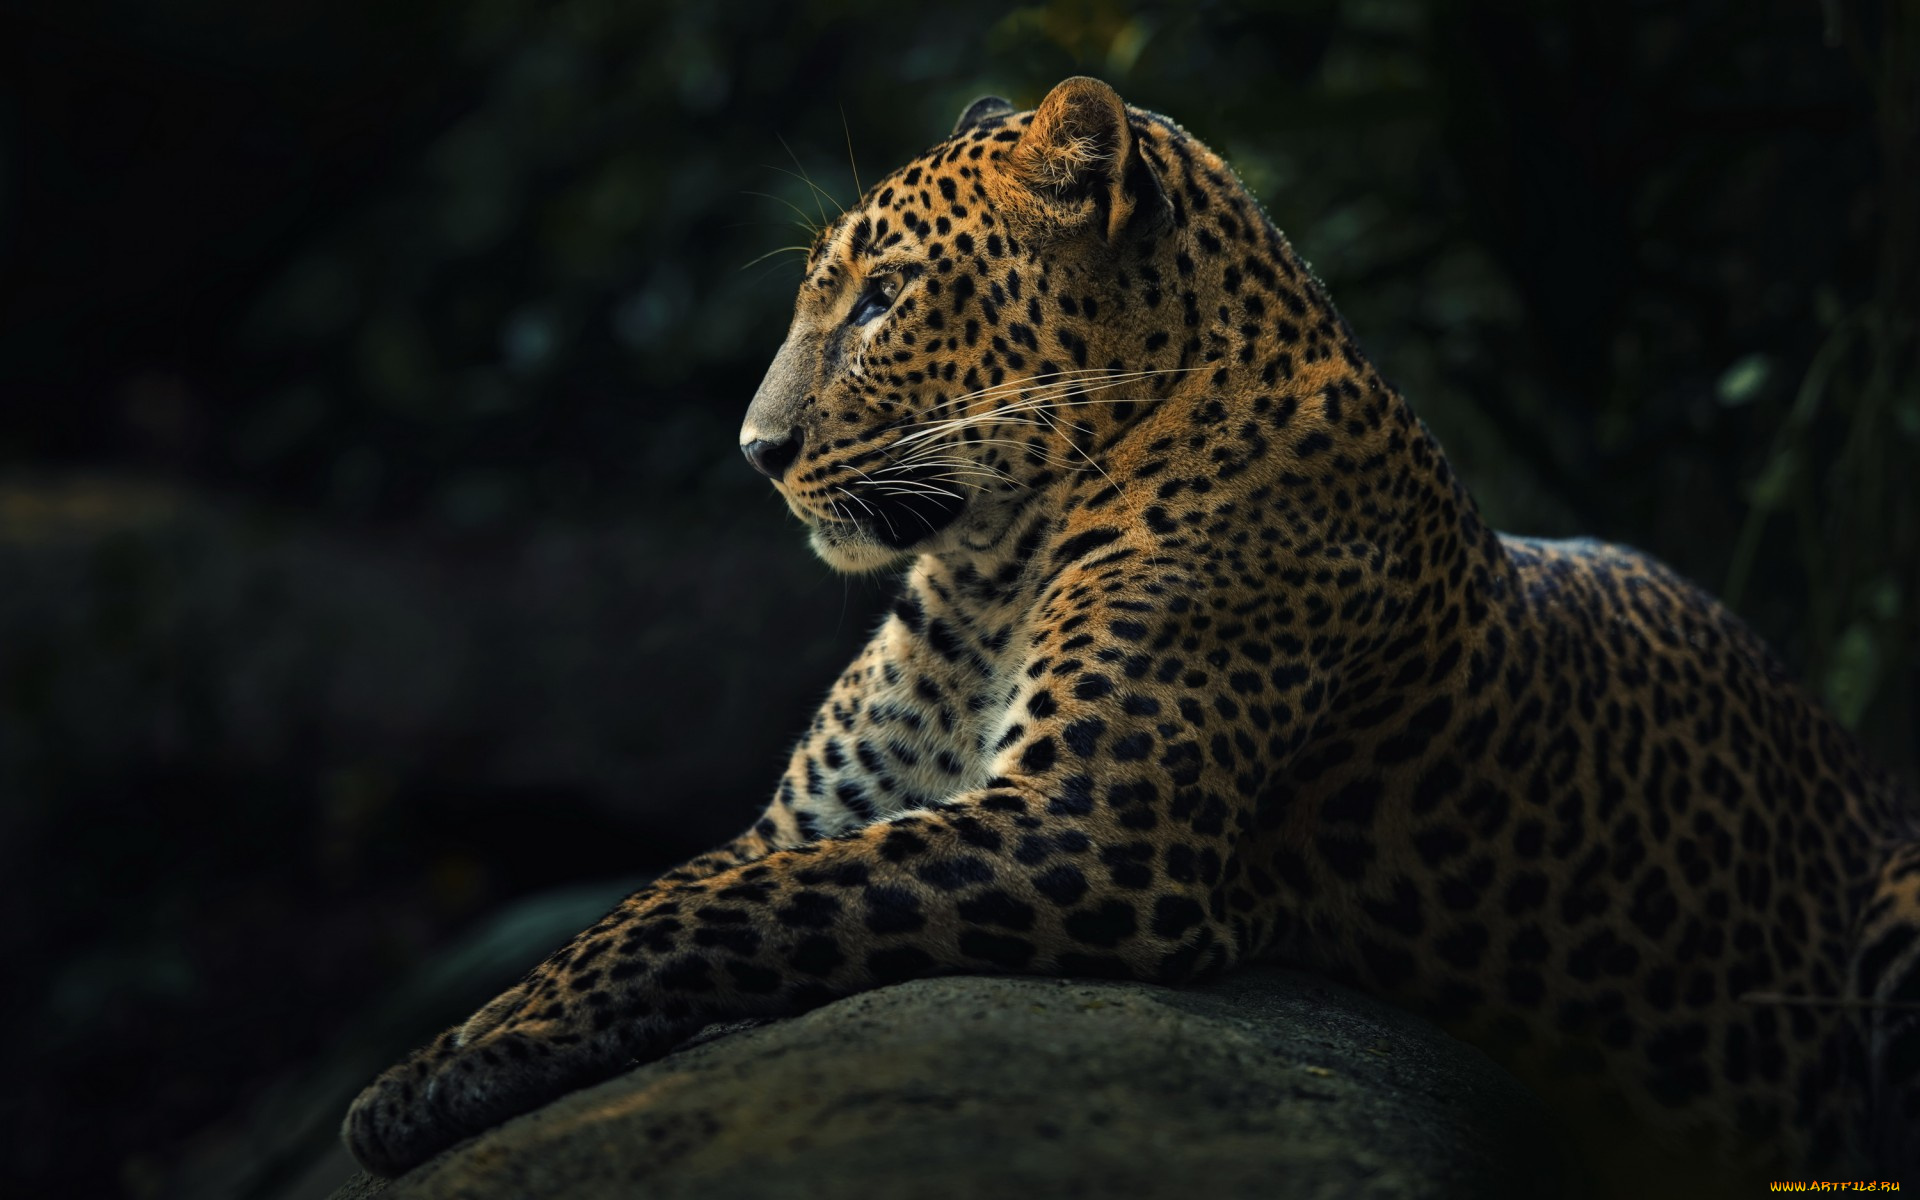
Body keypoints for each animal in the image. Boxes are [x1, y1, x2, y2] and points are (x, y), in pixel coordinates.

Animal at [342, 77, 1920, 1193]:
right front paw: (447, 1056)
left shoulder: (1091, 832)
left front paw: (437, 1078)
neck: (982, 574)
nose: (756, 452)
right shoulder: (812, 815)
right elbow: (654, 899)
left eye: (884, 297)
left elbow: (706, 909)